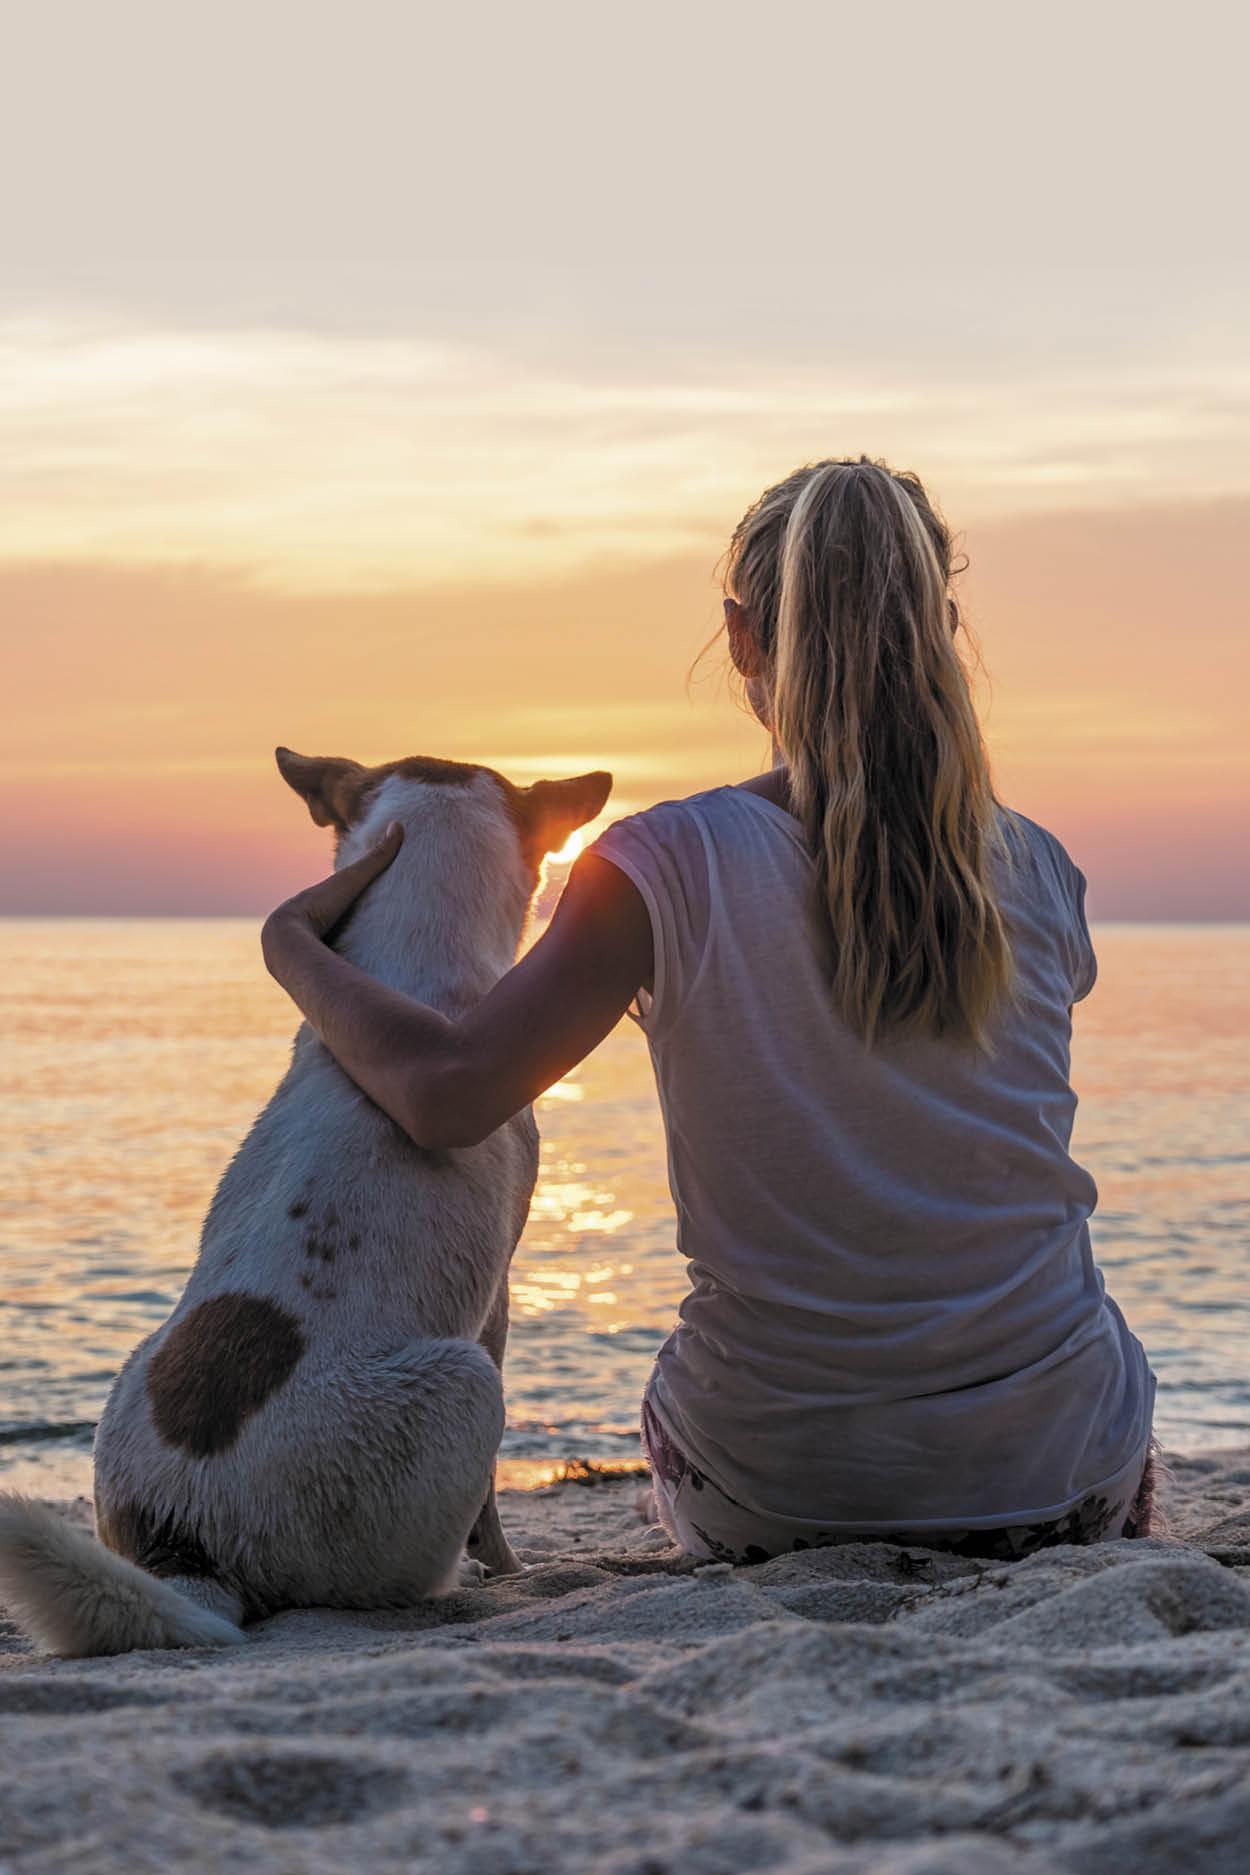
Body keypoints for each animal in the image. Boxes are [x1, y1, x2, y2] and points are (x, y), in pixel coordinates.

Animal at [0, 746, 610, 1657]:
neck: (409, 971)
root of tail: (190, 1540)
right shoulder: (498, 1296)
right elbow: (493, 1505)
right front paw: (507, 1566)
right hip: (462, 1383)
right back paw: (456, 1579)